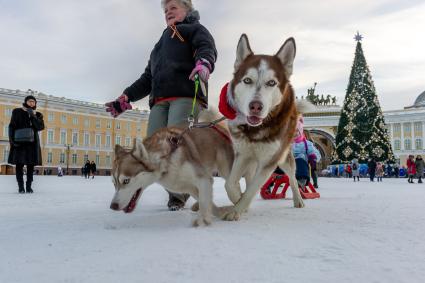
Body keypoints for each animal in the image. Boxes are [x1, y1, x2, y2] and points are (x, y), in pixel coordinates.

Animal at [219, 33, 304, 222]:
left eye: (271, 83)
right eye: (247, 80)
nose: (255, 106)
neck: (255, 130)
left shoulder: (270, 160)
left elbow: (252, 189)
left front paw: (237, 209)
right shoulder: (243, 153)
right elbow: (230, 183)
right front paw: (238, 200)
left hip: (284, 156)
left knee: (292, 177)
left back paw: (298, 199)